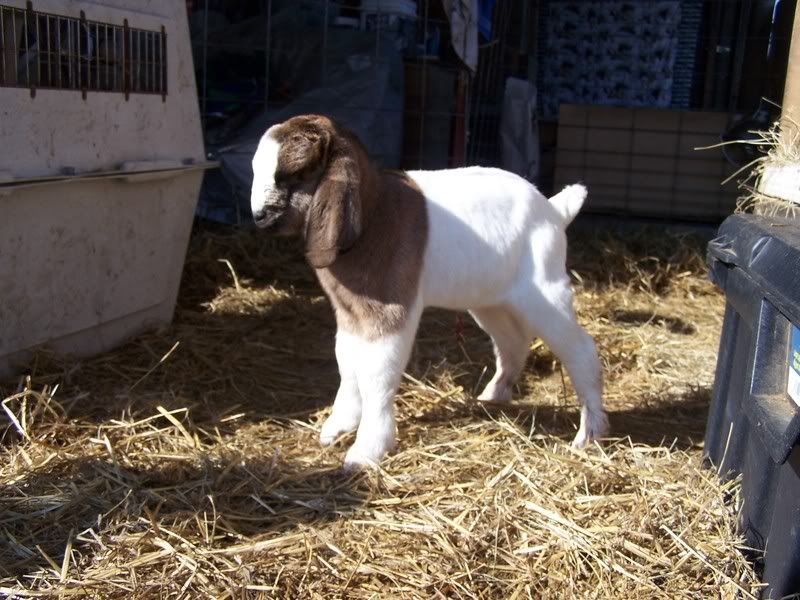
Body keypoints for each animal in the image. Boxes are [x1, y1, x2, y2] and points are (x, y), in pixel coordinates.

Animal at [250, 114, 608, 470]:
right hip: (490, 299)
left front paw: (366, 451)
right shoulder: (350, 314)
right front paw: (337, 427)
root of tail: (554, 210)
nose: (259, 216)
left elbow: (375, 375)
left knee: (580, 349)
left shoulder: (389, 312)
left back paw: (590, 433)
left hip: (545, 292)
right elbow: (348, 364)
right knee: (512, 342)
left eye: (298, 172)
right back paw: (493, 396)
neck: (375, 214)